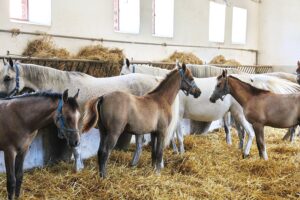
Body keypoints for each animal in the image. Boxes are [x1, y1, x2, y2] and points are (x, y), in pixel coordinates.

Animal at [0, 59, 178, 170]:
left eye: (7, 77)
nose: (1, 97)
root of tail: (155, 80)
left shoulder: (76, 124)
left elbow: (76, 147)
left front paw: (78, 168)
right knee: (142, 143)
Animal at [120, 59, 300, 158]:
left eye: (121, 73)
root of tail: (253, 80)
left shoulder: (179, 116)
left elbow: (178, 136)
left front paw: (180, 151)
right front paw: (177, 150)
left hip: (239, 115)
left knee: (250, 133)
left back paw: (247, 152)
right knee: (243, 133)